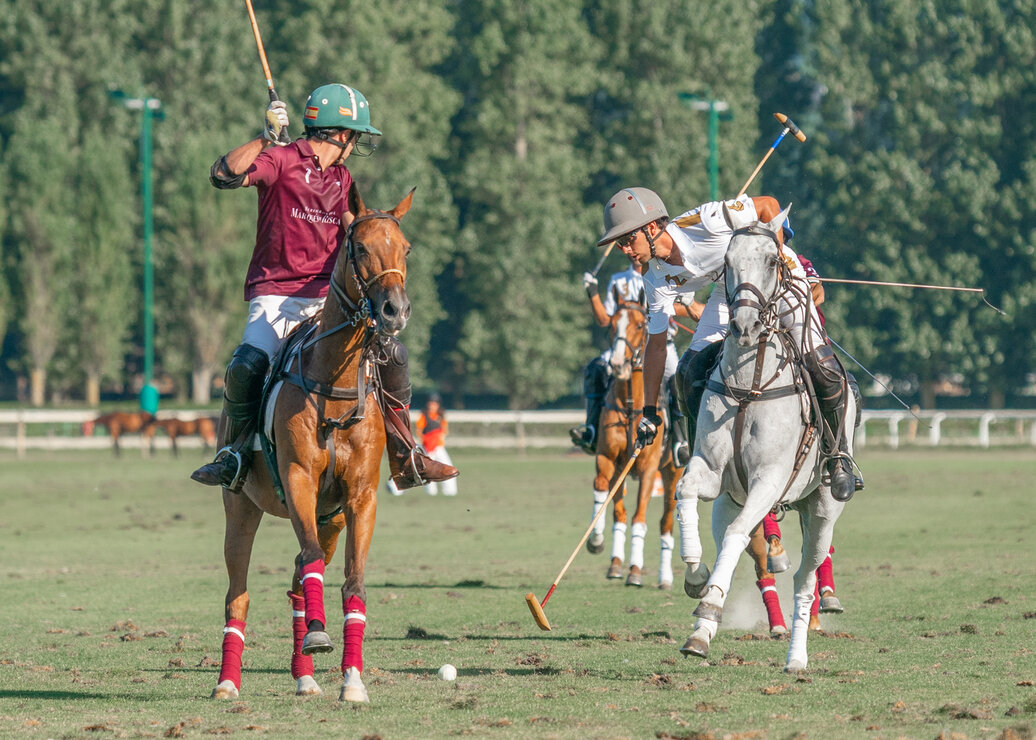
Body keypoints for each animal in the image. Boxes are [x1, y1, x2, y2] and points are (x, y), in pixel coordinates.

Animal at [212, 184, 414, 704]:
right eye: (358, 247)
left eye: (406, 249)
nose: (395, 311)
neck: (334, 387)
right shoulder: (299, 478)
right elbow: (312, 563)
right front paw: (320, 636)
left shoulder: (360, 498)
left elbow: (352, 582)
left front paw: (353, 681)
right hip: (241, 507)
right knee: (240, 594)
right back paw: (226, 683)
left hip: (331, 517)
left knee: (299, 581)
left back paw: (304, 676)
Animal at [671, 200, 849, 667]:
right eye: (727, 263)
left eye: (772, 260)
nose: (746, 325)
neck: (749, 383)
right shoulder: (710, 470)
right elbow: (685, 493)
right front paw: (696, 579)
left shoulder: (768, 479)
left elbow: (739, 536)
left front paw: (709, 604)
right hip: (736, 500)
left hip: (823, 508)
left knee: (806, 577)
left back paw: (797, 656)